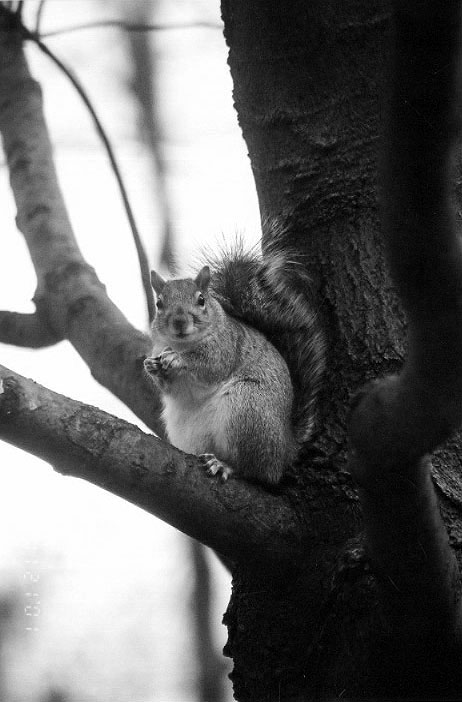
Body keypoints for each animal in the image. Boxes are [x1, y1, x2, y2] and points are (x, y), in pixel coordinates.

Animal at [143, 239, 325, 485]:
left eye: (201, 300)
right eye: (159, 304)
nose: (180, 322)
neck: (182, 344)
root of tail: (285, 451)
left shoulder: (226, 348)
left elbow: (209, 366)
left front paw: (177, 359)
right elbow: (170, 389)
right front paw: (152, 367)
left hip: (246, 409)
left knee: (254, 470)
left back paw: (225, 465)